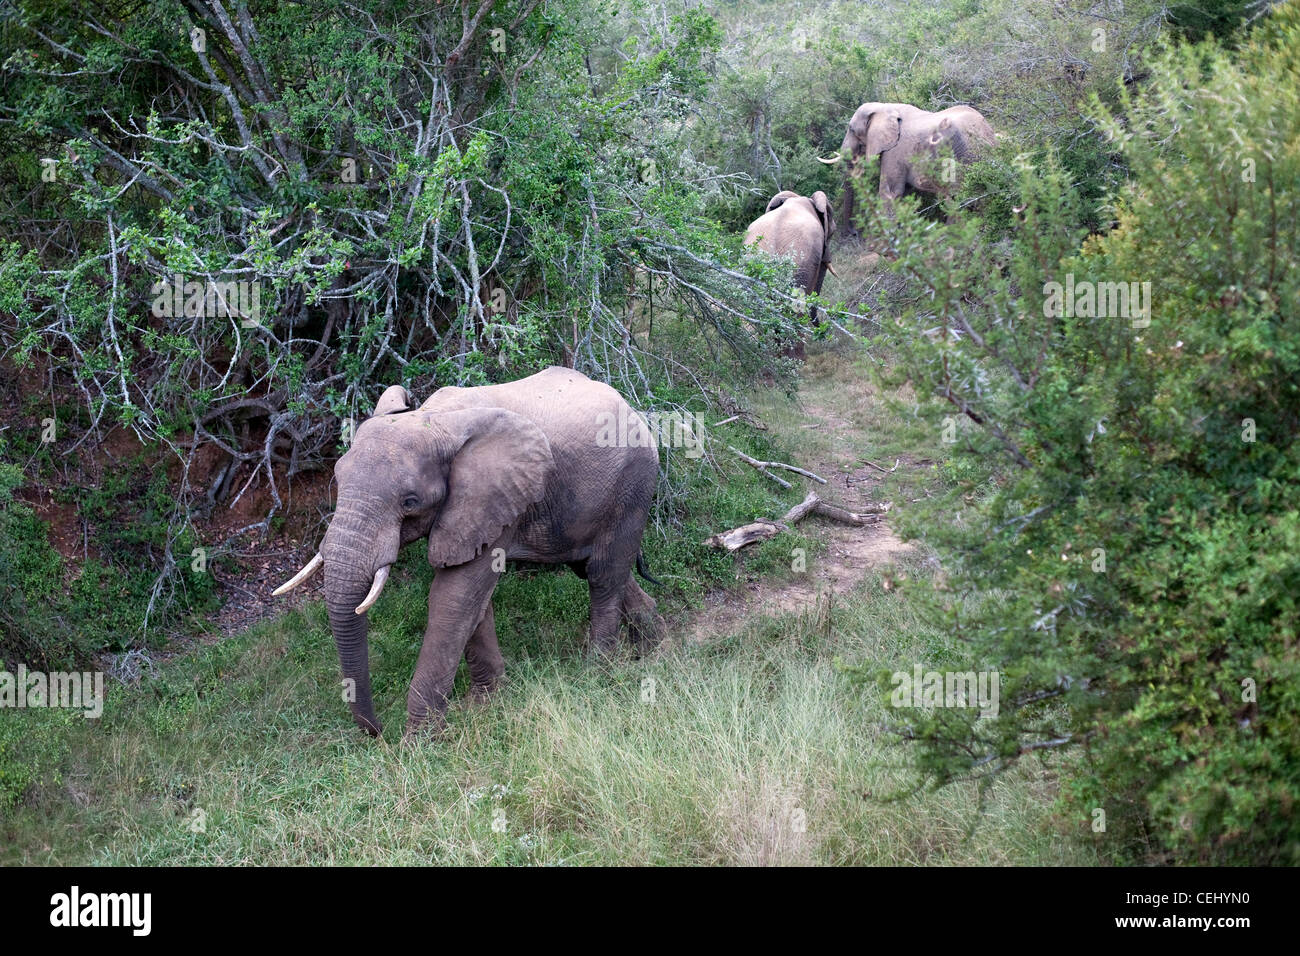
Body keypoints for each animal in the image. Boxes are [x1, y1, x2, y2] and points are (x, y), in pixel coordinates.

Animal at [271, 369, 660, 738]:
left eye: (410, 502)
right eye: (337, 479)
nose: (377, 732)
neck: (434, 419)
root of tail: (631, 408)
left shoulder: (499, 498)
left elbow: (452, 598)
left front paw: (418, 744)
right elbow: (472, 601)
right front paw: (484, 703)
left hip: (633, 483)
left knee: (603, 575)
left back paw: (597, 672)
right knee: (596, 567)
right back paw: (654, 648)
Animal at [821, 100, 993, 239]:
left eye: (851, 130)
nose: (854, 233)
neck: (884, 107)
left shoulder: (894, 151)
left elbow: (889, 192)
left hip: (960, 157)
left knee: (955, 198)